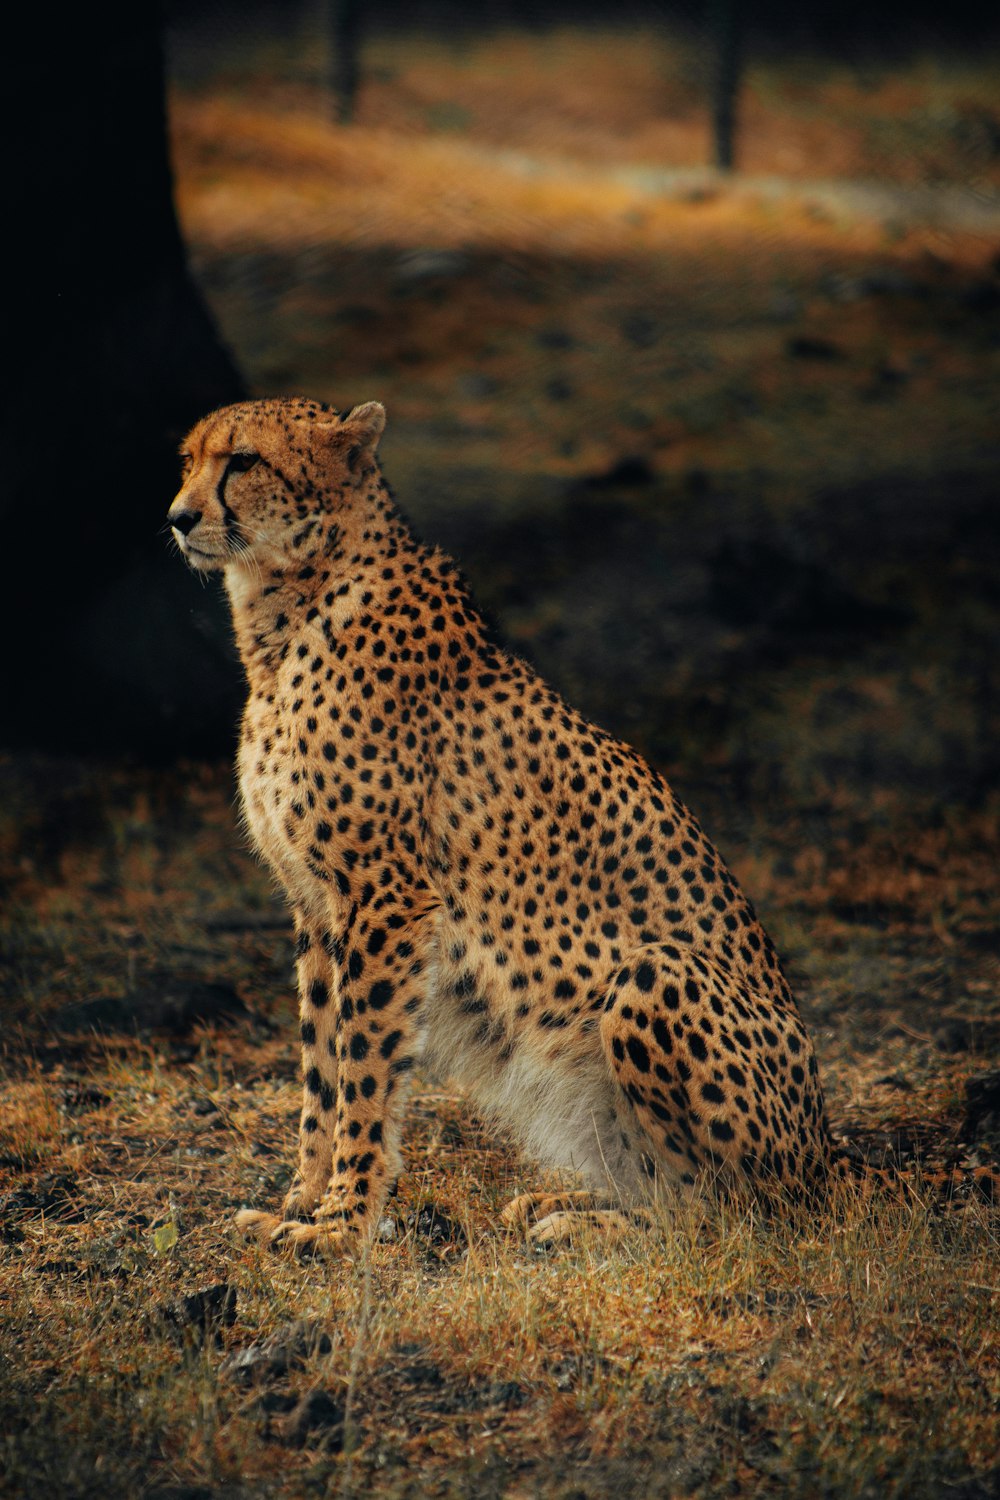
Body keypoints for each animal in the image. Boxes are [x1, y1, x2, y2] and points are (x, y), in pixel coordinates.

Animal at [167, 396, 983, 1254]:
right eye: (188, 460)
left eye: (244, 461)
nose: (180, 518)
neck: (290, 606)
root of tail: (827, 1148)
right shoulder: (318, 907)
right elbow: (320, 1069)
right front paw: (298, 1203)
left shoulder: (385, 899)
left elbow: (363, 1068)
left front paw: (342, 1223)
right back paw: (569, 1209)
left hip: (656, 976)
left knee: (744, 1217)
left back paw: (593, 1226)